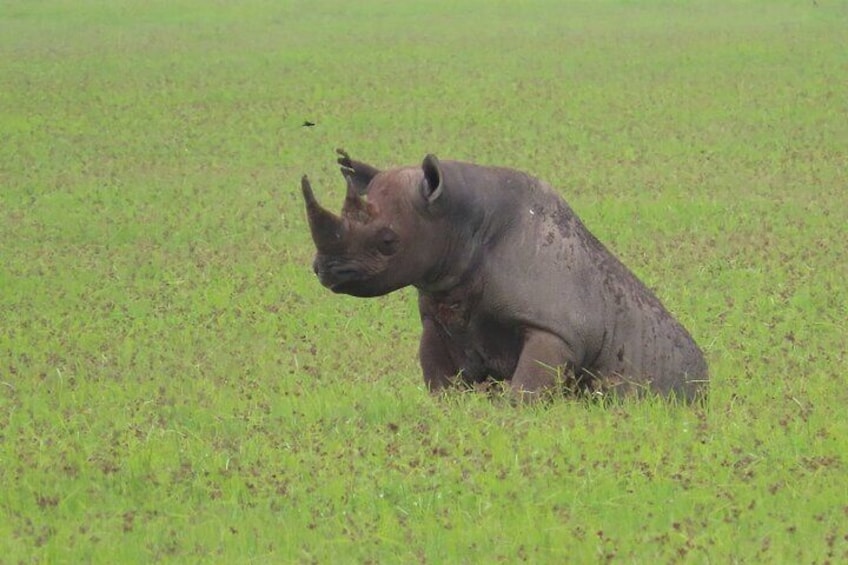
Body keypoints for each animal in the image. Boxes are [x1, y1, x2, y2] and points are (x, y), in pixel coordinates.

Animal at [300, 149, 708, 402]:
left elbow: (526, 389)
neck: (460, 220)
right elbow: (437, 379)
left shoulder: (555, 329)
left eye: (388, 242)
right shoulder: (439, 311)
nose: (325, 270)